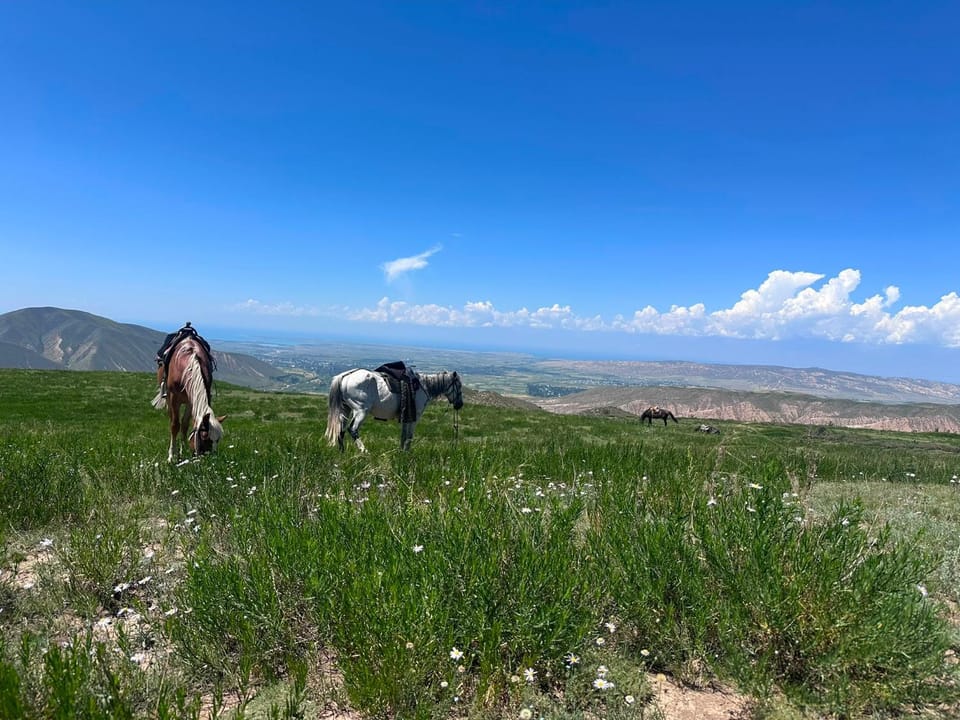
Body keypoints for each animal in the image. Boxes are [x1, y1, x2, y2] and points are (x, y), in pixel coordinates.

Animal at [325, 367, 463, 452]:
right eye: (459, 386)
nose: (460, 404)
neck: (423, 387)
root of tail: (345, 376)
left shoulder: (407, 417)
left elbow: (404, 436)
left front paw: (401, 452)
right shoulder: (414, 418)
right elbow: (409, 437)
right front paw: (407, 453)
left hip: (346, 409)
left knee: (341, 431)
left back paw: (342, 452)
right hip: (361, 411)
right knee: (352, 429)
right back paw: (364, 451)